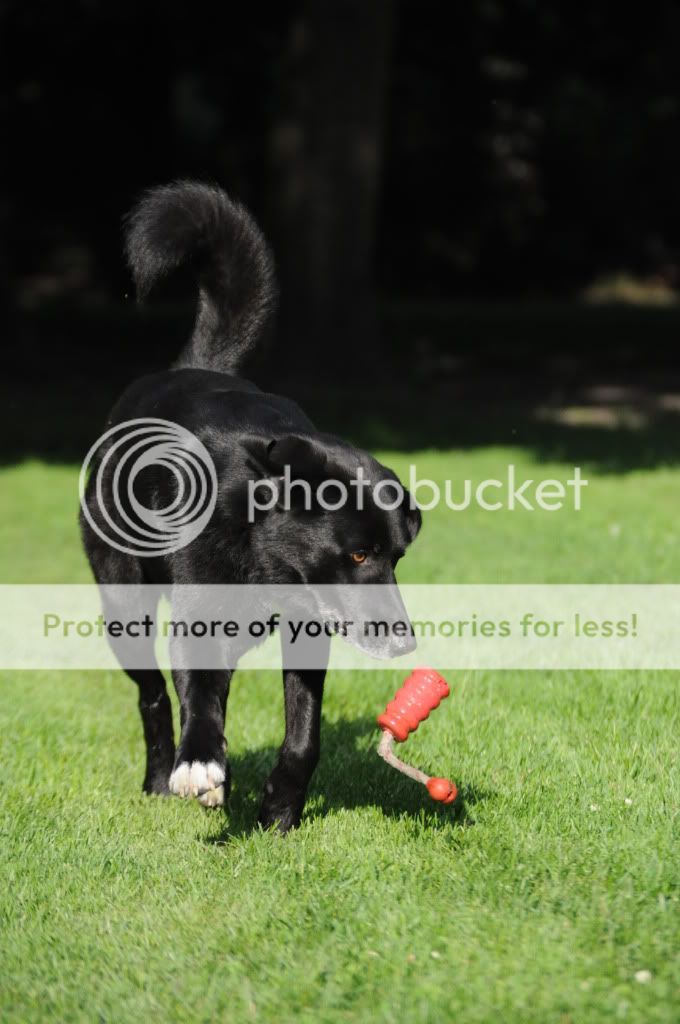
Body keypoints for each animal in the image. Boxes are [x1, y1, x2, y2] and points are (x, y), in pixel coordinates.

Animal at [80, 181, 421, 832]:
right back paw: (160, 777)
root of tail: (192, 368)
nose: (404, 644)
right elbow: (197, 698)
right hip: (123, 602)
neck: (259, 545)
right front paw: (200, 767)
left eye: (396, 558)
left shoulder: (310, 629)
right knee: (153, 694)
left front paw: (279, 809)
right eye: (357, 554)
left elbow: (304, 735)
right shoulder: (199, 615)